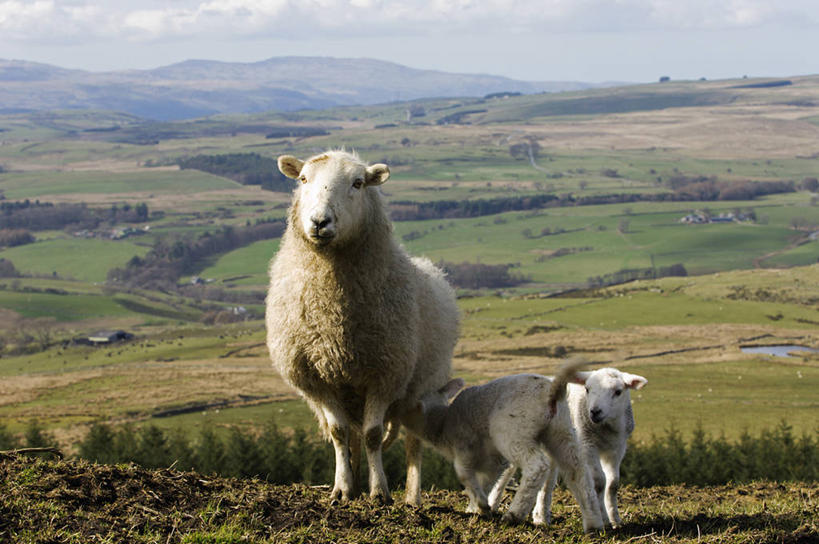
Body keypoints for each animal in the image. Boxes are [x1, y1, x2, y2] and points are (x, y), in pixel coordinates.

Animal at [270, 150, 462, 506]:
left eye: (358, 183)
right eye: (303, 179)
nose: (319, 222)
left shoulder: (385, 373)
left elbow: (374, 435)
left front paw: (379, 492)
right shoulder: (319, 379)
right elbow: (339, 434)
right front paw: (343, 490)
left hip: (421, 389)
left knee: (412, 443)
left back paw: (411, 498)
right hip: (352, 395)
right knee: (354, 435)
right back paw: (355, 481)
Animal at [402, 360, 604, 532]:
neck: (442, 423)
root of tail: (551, 393)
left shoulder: (464, 448)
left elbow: (464, 475)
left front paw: (482, 506)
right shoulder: (494, 462)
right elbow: (485, 482)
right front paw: (477, 508)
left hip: (512, 432)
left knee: (537, 466)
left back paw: (514, 514)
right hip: (561, 431)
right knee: (578, 472)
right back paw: (593, 524)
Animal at [532, 368, 648, 528]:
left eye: (618, 392)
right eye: (587, 389)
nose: (595, 411)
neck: (605, 428)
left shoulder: (617, 448)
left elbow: (613, 484)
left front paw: (615, 519)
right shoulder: (587, 445)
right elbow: (599, 481)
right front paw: (604, 520)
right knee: (547, 482)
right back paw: (541, 518)